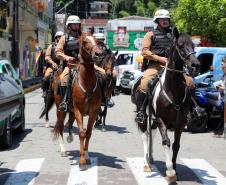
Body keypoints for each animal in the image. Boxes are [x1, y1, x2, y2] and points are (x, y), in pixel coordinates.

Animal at [134, 28, 200, 183]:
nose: (195, 65)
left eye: (193, 45)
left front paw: (175, 168)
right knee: (145, 135)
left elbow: (176, 145)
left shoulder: (180, 122)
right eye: (181, 45)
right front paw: (170, 171)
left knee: (152, 134)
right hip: (144, 117)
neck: (173, 88)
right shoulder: (161, 119)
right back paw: (146, 163)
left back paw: (151, 158)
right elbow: (166, 142)